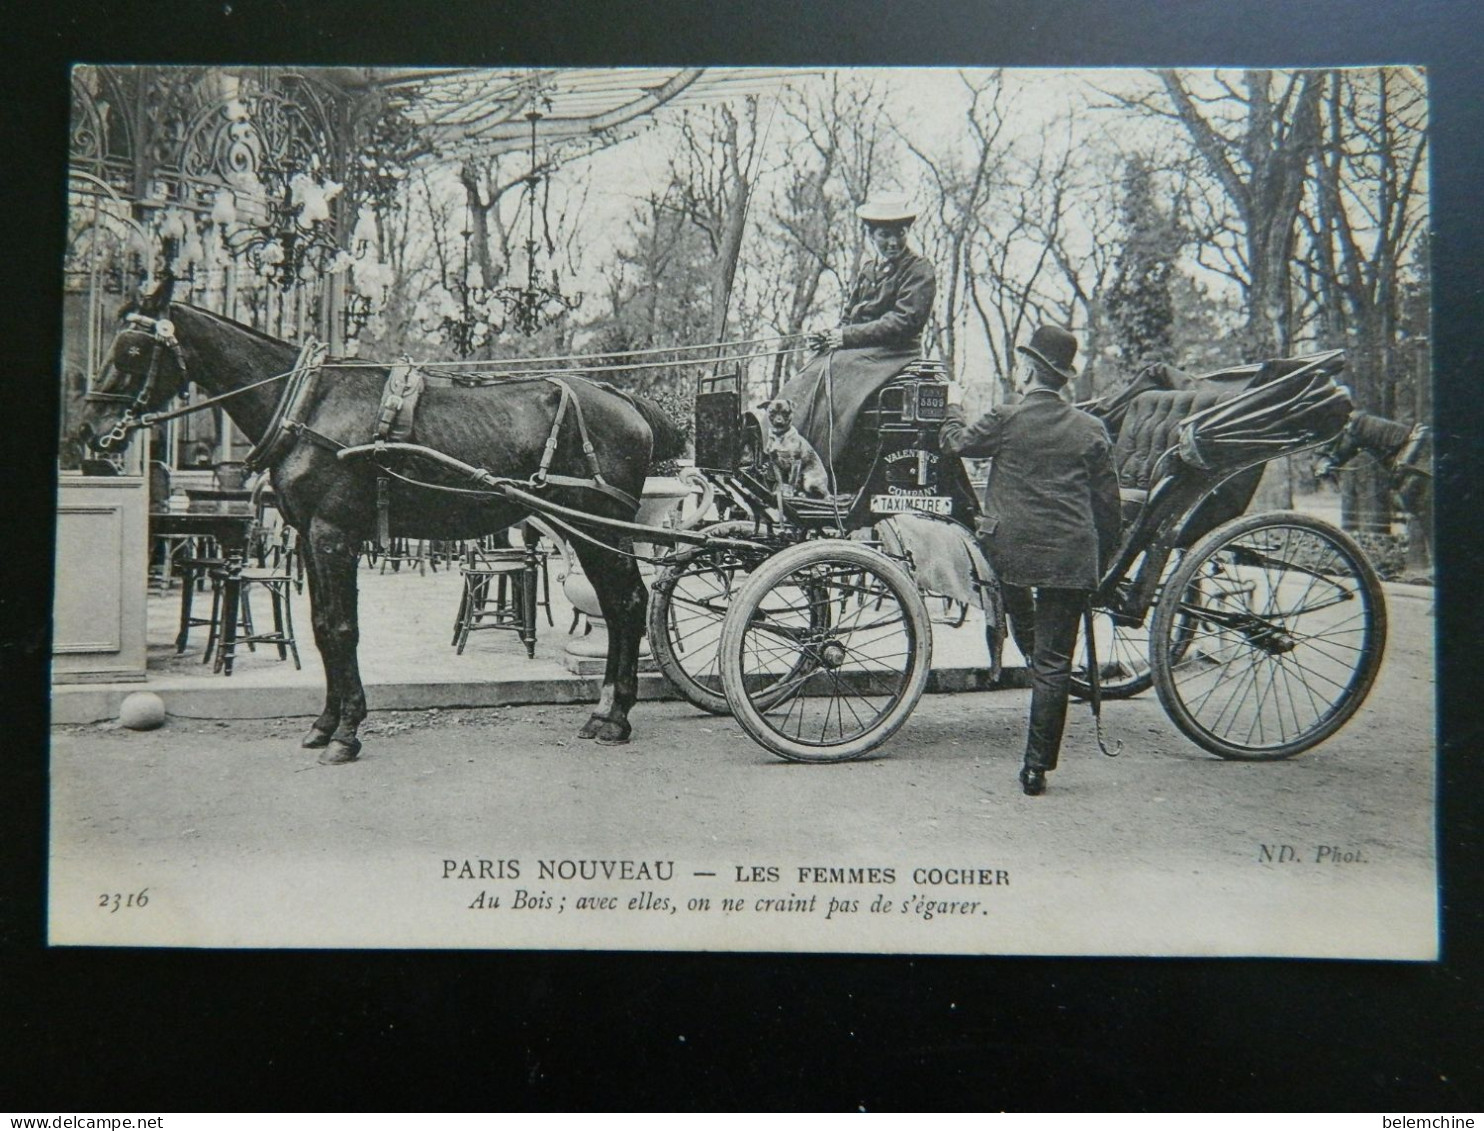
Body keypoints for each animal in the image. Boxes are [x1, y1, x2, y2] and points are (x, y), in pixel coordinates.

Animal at [72, 277, 685, 759]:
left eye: (132, 351)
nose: (86, 431)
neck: (308, 404)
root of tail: (623, 400)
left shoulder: (334, 534)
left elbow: (343, 628)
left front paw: (346, 732)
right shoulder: (309, 538)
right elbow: (322, 628)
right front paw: (324, 725)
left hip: (598, 526)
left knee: (627, 604)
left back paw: (612, 716)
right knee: (622, 605)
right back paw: (608, 711)